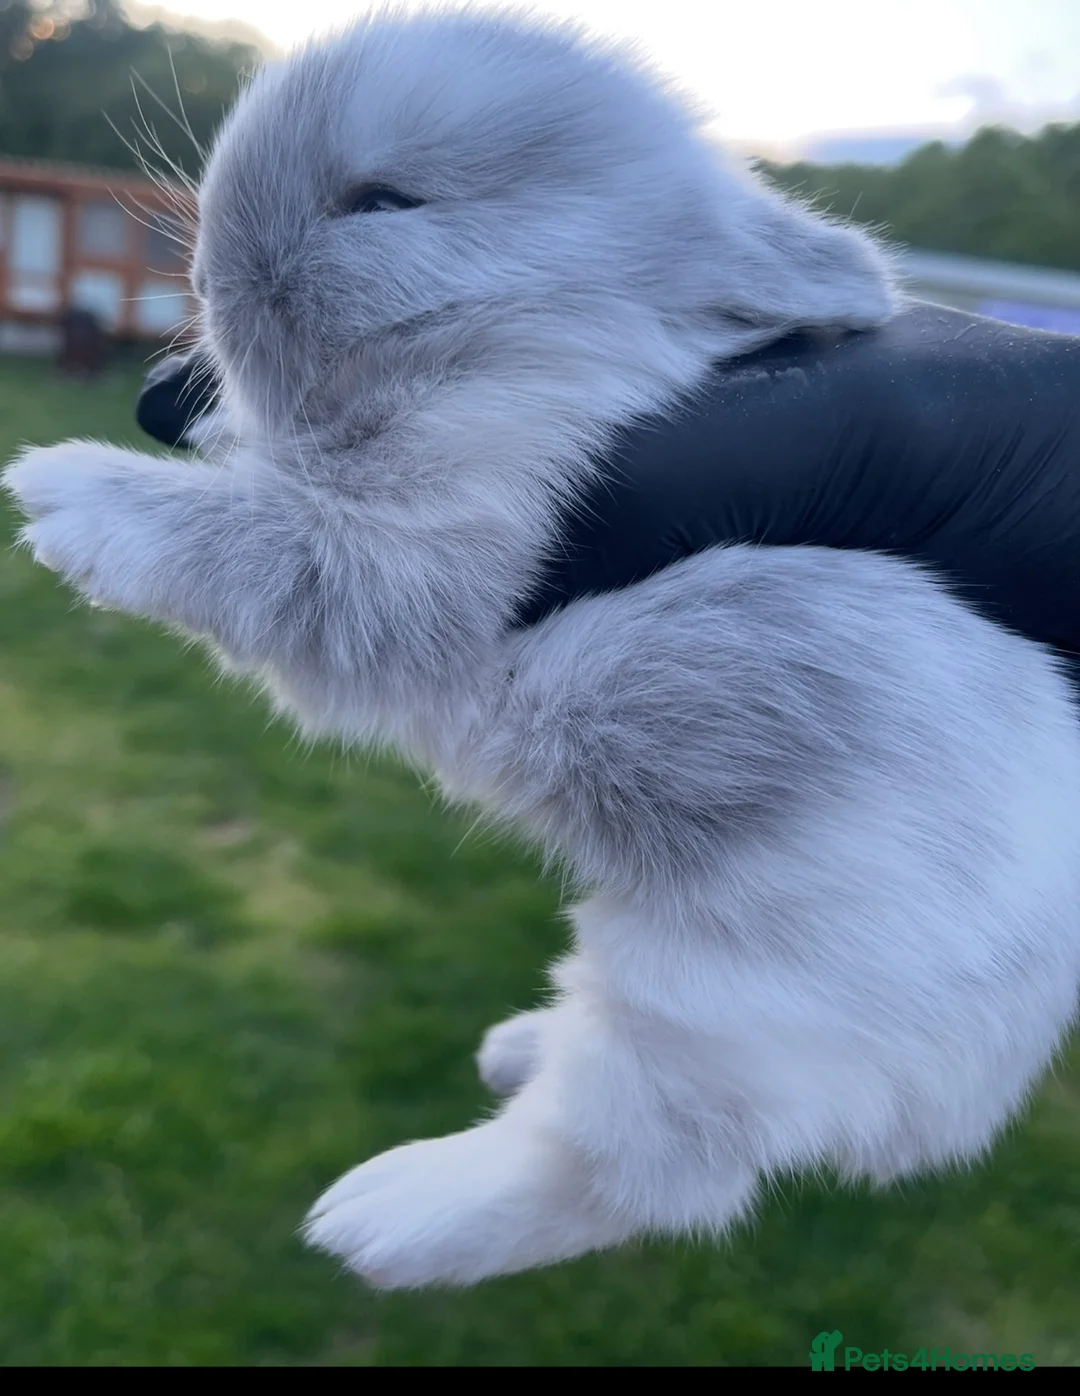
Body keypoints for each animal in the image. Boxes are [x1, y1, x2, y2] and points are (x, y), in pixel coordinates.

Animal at [6, 4, 1080, 1292]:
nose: (205, 285)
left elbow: (275, 545)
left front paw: (63, 496)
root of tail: (958, 1104)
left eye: (383, 201)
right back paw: (516, 1049)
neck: (521, 342)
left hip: (716, 1000)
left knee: (628, 1170)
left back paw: (383, 1218)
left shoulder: (427, 551)